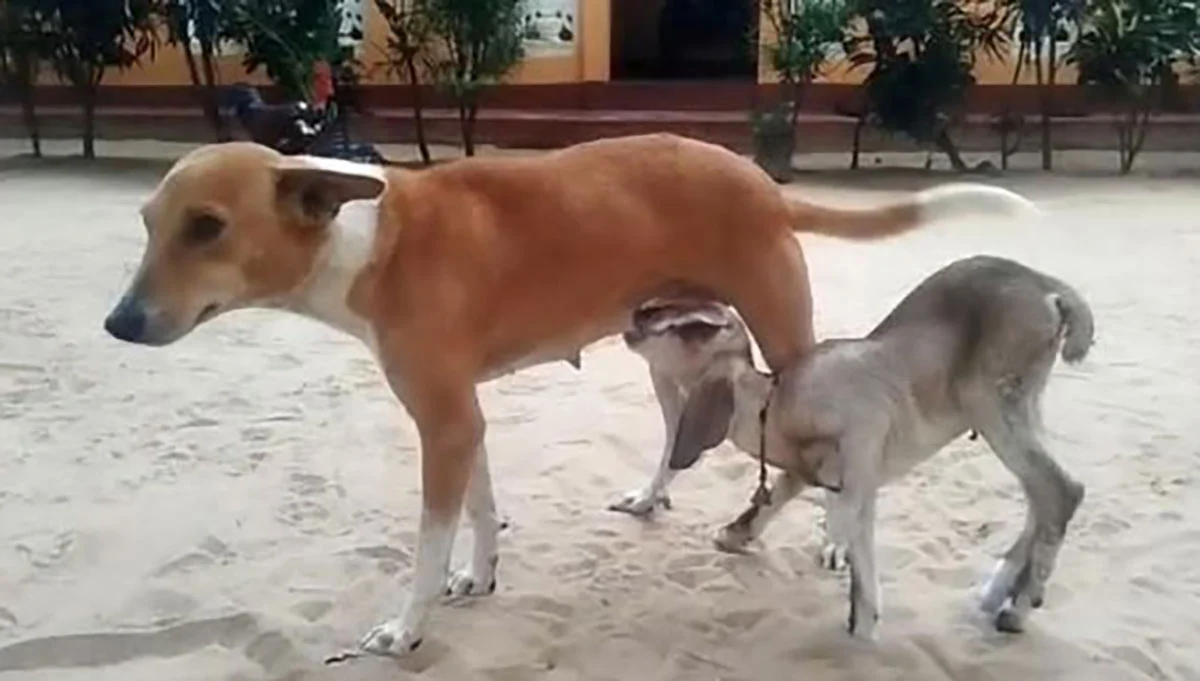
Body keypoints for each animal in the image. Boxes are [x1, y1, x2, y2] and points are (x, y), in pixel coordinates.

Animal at [102, 133, 1037, 656]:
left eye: (208, 227)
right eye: (147, 224)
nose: (118, 322)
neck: (369, 238)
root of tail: (764, 183)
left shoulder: (444, 423)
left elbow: (428, 544)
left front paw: (405, 629)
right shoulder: (460, 419)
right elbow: (480, 513)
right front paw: (478, 577)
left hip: (780, 337)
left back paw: (837, 540)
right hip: (665, 352)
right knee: (673, 441)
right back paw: (653, 496)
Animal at [625, 255, 1092, 639]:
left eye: (694, 328)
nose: (636, 318)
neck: (776, 408)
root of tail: (1049, 288)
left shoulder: (864, 436)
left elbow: (842, 525)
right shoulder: (861, 486)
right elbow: (864, 586)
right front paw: (861, 629)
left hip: (991, 400)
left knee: (1061, 490)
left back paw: (1017, 608)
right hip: (1019, 404)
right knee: (1042, 495)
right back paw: (997, 595)